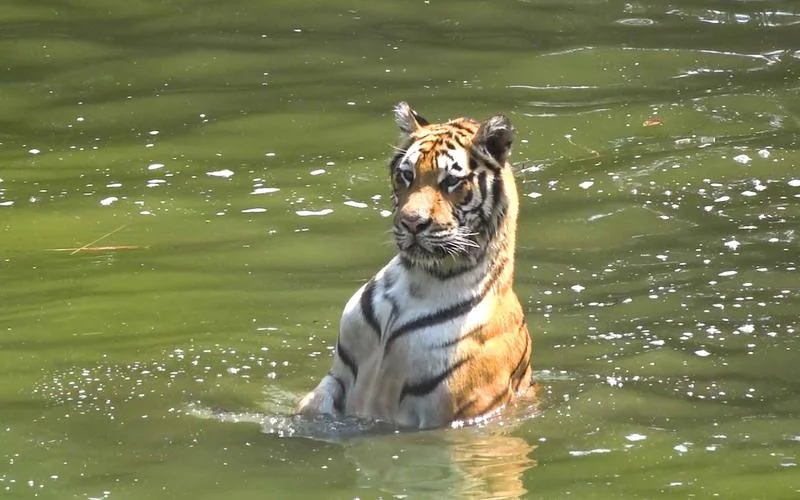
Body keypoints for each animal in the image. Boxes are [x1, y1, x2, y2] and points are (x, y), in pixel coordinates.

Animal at [297, 102, 532, 429]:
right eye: (406, 175)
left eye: (451, 181)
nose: (411, 222)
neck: (417, 281)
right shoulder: (338, 375)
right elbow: (313, 403)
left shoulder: (454, 408)